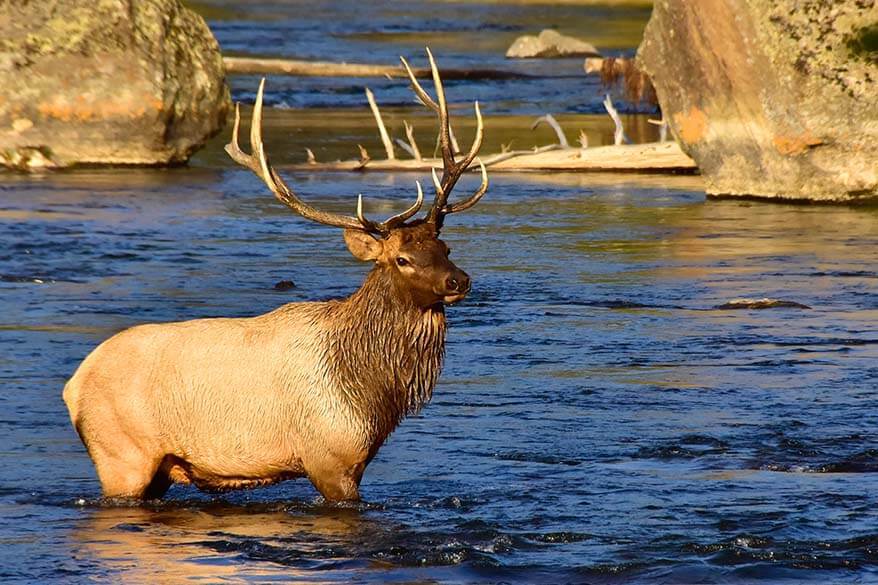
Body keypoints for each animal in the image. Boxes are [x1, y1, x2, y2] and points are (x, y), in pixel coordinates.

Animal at [63, 51, 488, 502]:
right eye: (403, 259)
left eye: (445, 248)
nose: (458, 281)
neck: (371, 393)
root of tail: (73, 386)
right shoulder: (329, 460)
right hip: (122, 456)